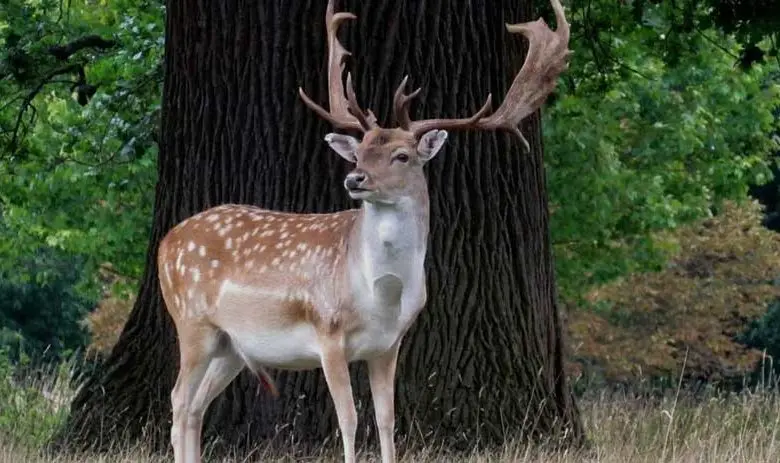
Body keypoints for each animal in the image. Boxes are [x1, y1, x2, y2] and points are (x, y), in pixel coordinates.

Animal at [157, 0, 570, 462]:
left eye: (402, 155)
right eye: (360, 152)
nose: (354, 178)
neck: (381, 293)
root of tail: (166, 241)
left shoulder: (389, 345)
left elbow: (387, 420)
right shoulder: (328, 332)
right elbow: (350, 421)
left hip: (232, 345)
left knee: (195, 407)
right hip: (192, 321)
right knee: (177, 399)